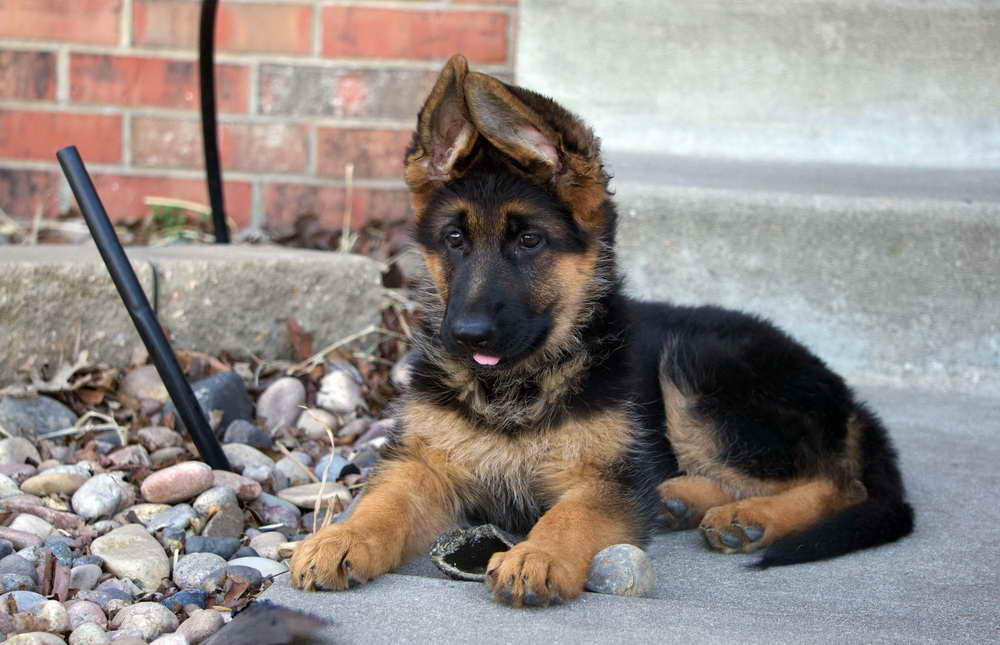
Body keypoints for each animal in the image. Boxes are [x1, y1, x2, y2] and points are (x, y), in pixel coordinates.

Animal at [290, 55, 916, 604]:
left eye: (529, 240)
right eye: (454, 238)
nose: (467, 335)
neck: (517, 385)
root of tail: (846, 395)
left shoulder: (602, 480)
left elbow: (570, 517)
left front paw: (536, 555)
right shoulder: (423, 465)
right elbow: (382, 505)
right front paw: (339, 539)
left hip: (696, 368)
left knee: (839, 482)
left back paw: (748, 516)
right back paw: (682, 500)